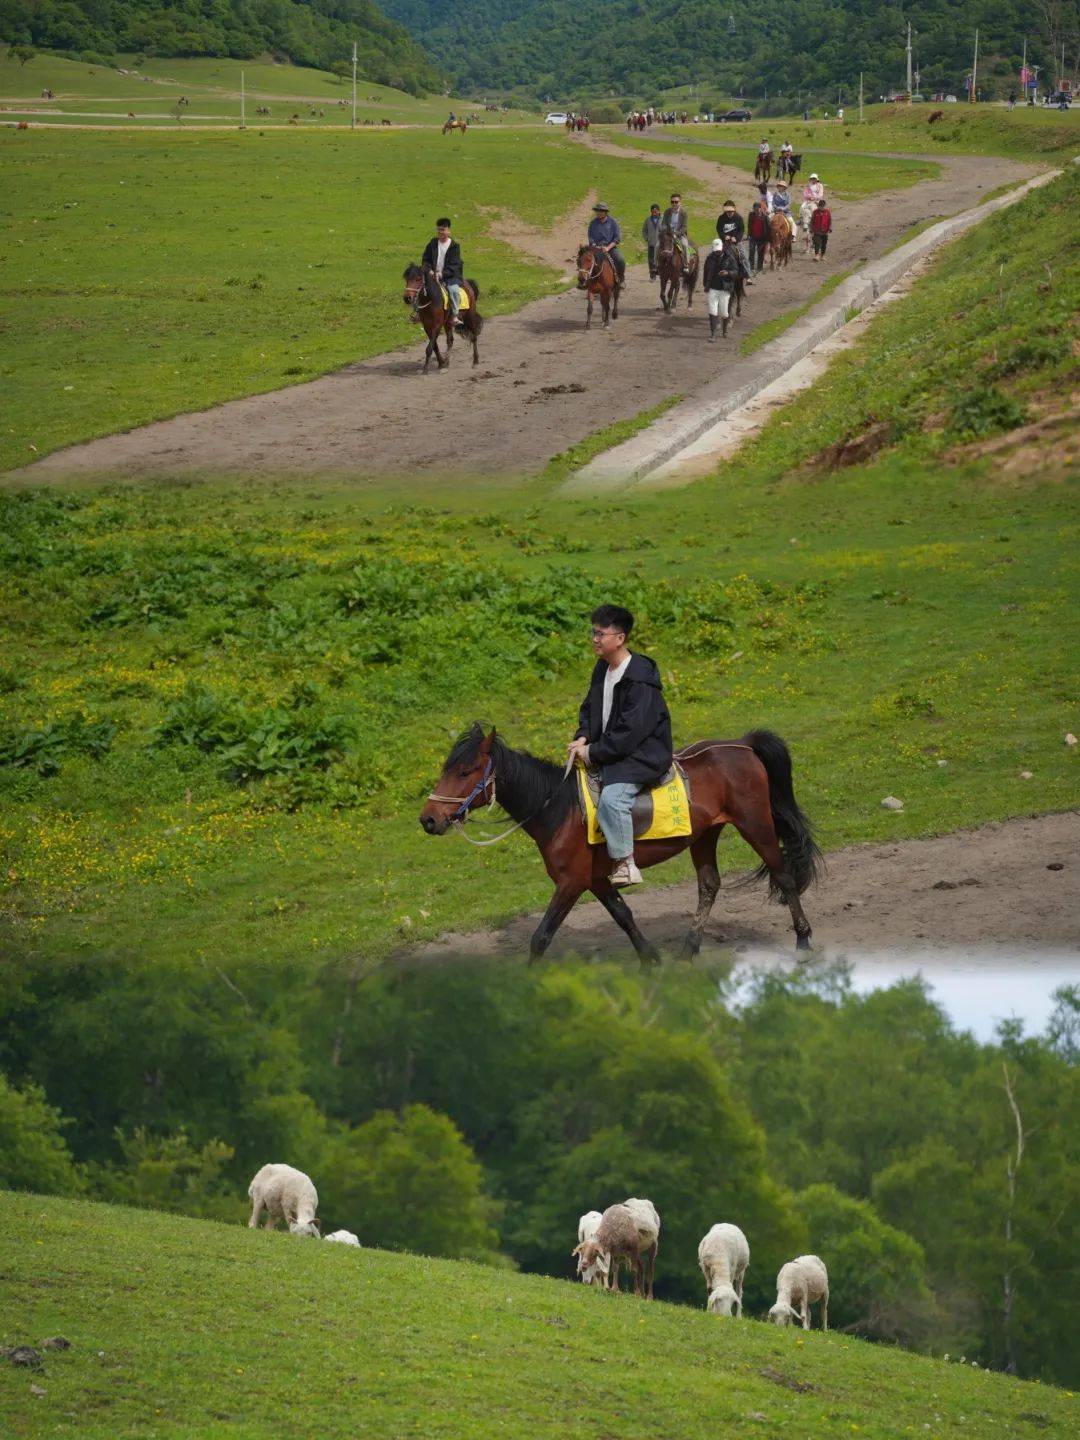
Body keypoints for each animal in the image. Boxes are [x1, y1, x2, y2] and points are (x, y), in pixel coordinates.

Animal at [420, 720, 817, 967]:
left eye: (465, 771)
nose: (428, 819)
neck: (559, 807)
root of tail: (743, 746)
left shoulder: (571, 883)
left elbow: (541, 937)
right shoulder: (596, 880)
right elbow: (623, 915)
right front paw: (650, 959)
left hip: (756, 825)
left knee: (783, 877)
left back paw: (803, 943)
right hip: (705, 835)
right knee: (708, 885)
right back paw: (689, 949)